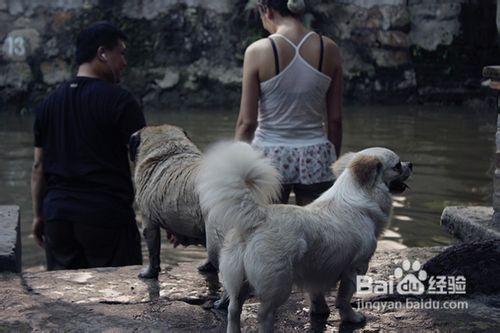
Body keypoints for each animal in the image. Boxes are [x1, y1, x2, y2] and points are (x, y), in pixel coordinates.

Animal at [197, 141, 412, 330]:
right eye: (397, 165)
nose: (410, 164)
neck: (358, 193)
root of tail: (258, 217)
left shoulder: (316, 270)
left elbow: (316, 294)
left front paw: (320, 311)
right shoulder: (355, 267)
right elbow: (344, 299)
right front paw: (351, 318)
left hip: (238, 280)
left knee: (233, 310)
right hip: (279, 284)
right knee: (263, 314)